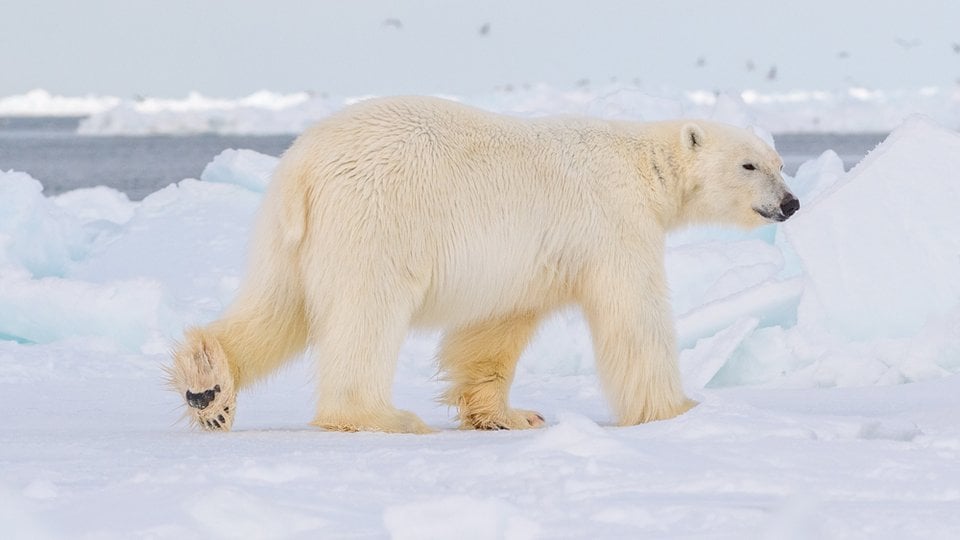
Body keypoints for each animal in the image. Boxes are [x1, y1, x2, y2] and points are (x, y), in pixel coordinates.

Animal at [169, 96, 798, 433]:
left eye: (779, 161)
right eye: (749, 165)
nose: (791, 203)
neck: (645, 166)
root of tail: (304, 163)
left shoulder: (527, 258)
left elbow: (496, 327)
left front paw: (510, 415)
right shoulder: (613, 223)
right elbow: (634, 316)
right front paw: (680, 409)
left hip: (289, 236)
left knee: (278, 307)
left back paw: (208, 385)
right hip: (377, 218)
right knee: (365, 315)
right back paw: (381, 416)